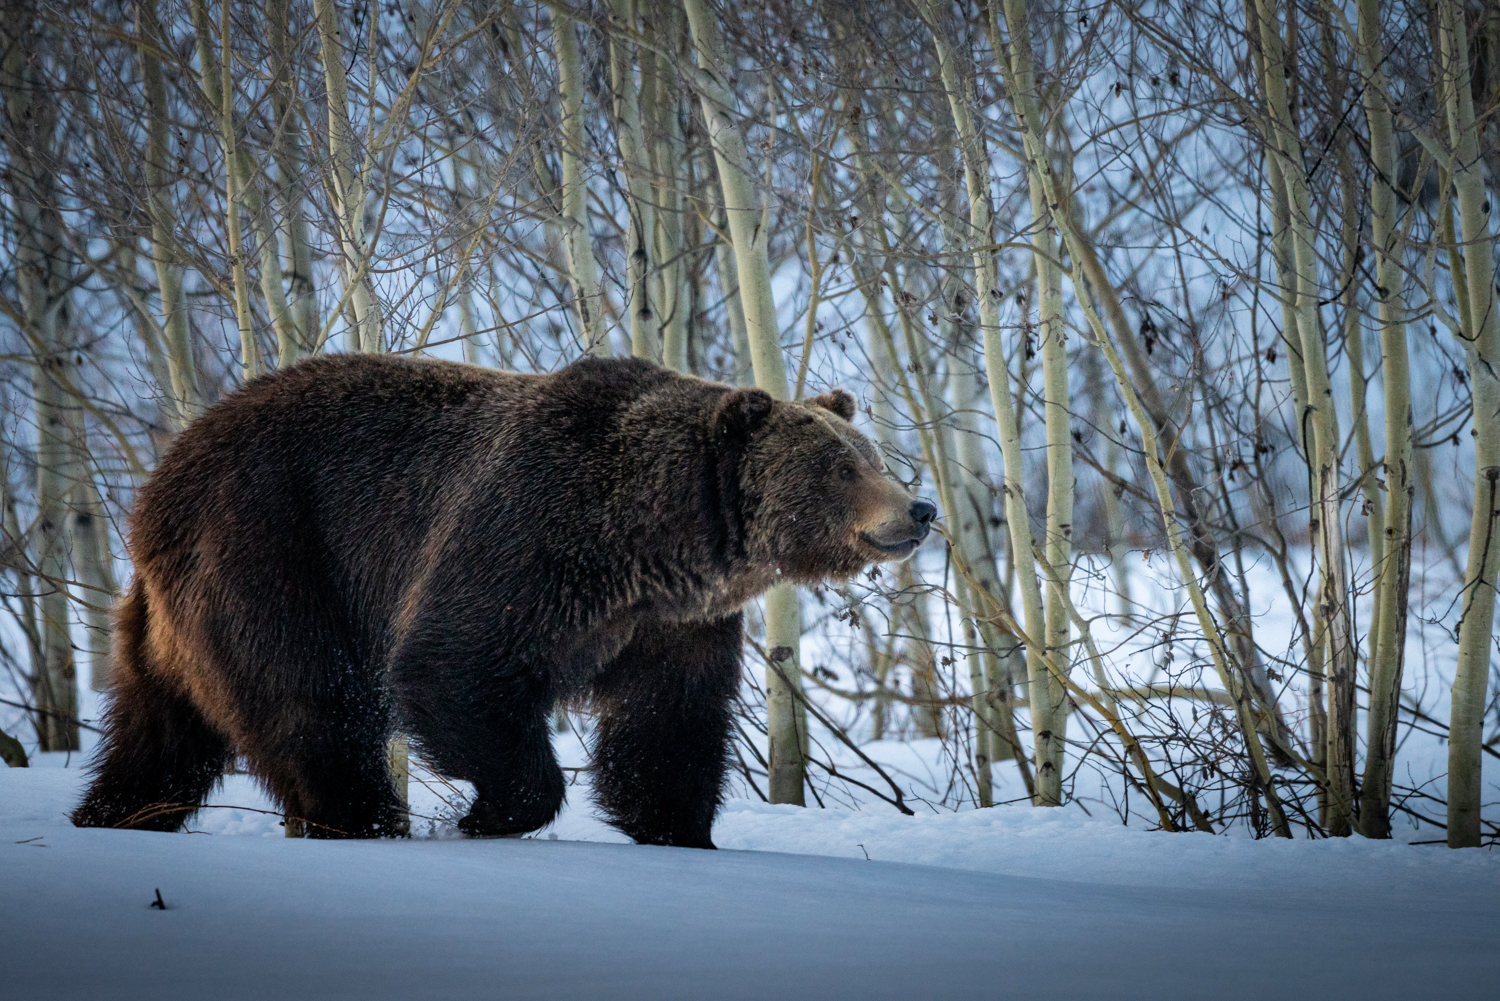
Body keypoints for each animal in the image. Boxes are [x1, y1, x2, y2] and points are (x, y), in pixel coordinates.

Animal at [72, 354, 935, 848]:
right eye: (840, 465)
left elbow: (670, 721)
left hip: (172, 617)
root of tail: (156, 483)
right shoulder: (529, 538)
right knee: (311, 703)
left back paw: (112, 815)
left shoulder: (671, 623)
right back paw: (365, 819)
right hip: (271, 549)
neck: (656, 538)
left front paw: (681, 830)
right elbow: (452, 664)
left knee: (159, 734)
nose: (918, 508)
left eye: (871, 454)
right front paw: (488, 813)